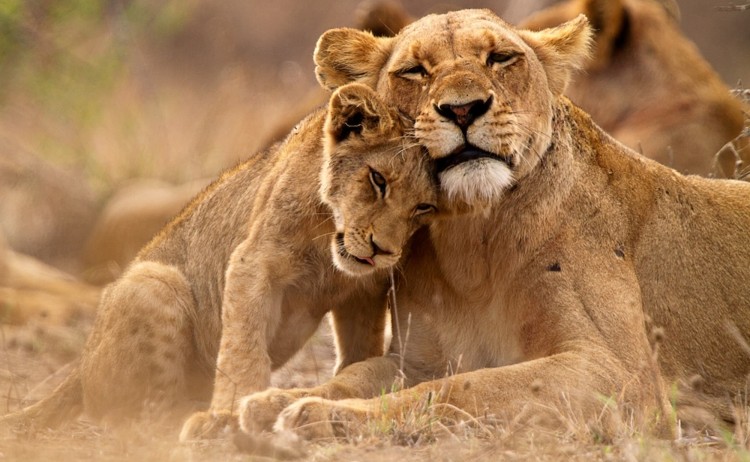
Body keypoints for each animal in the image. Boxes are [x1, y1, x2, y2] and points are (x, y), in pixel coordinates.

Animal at [0, 83, 438, 435]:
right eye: (378, 180)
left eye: (424, 207)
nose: (383, 251)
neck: (327, 240)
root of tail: (79, 366)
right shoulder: (252, 263)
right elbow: (244, 349)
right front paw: (229, 413)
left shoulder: (364, 291)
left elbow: (359, 352)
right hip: (154, 281)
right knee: (139, 418)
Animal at [235, 10, 750, 440]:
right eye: (415, 70)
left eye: (500, 58)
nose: (463, 109)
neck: (472, 241)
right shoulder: (418, 359)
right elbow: (354, 375)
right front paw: (277, 401)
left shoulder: (622, 376)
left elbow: (463, 388)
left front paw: (323, 416)